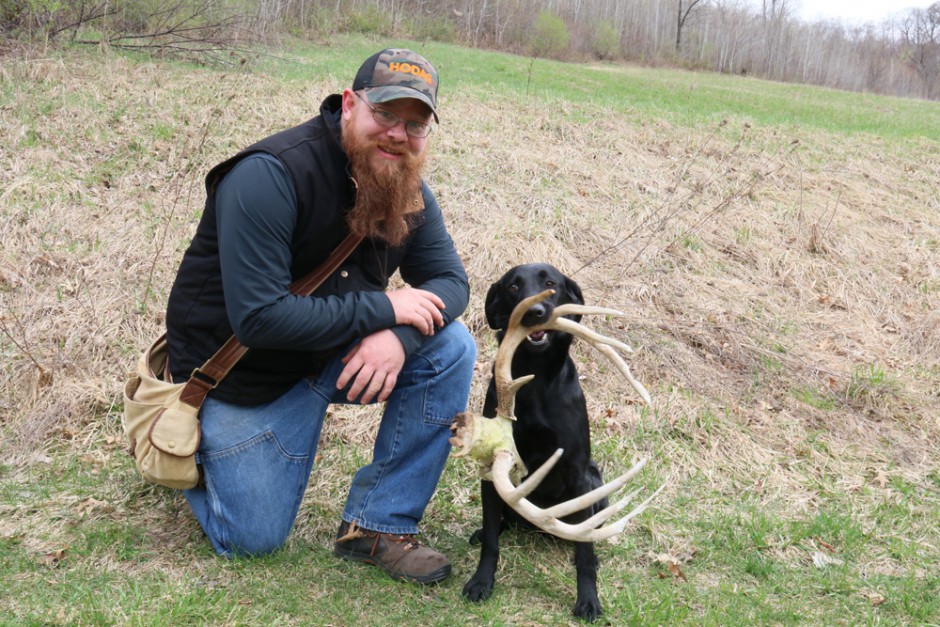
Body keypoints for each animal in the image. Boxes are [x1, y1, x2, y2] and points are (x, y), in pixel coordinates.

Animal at [462, 262, 608, 620]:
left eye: (551, 283)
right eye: (513, 286)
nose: (534, 311)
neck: (537, 379)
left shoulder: (578, 472)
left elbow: (584, 555)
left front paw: (588, 599)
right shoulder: (495, 465)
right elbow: (491, 542)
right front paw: (481, 581)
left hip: (596, 483)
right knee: (498, 523)